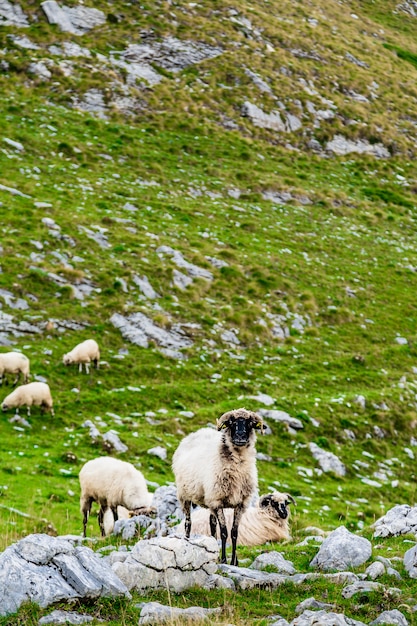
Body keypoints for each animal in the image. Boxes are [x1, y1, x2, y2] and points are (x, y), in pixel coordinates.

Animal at [170, 408, 262, 564]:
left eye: (250, 423)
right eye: (231, 423)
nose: (240, 436)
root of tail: (196, 433)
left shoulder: (240, 504)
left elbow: (234, 533)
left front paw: (233, 562)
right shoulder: (217, 501)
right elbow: (224, 532)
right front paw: (224, 560)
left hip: (208, 500)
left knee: (212, 525)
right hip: (184, 495)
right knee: (188, 523)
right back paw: (187, 541)